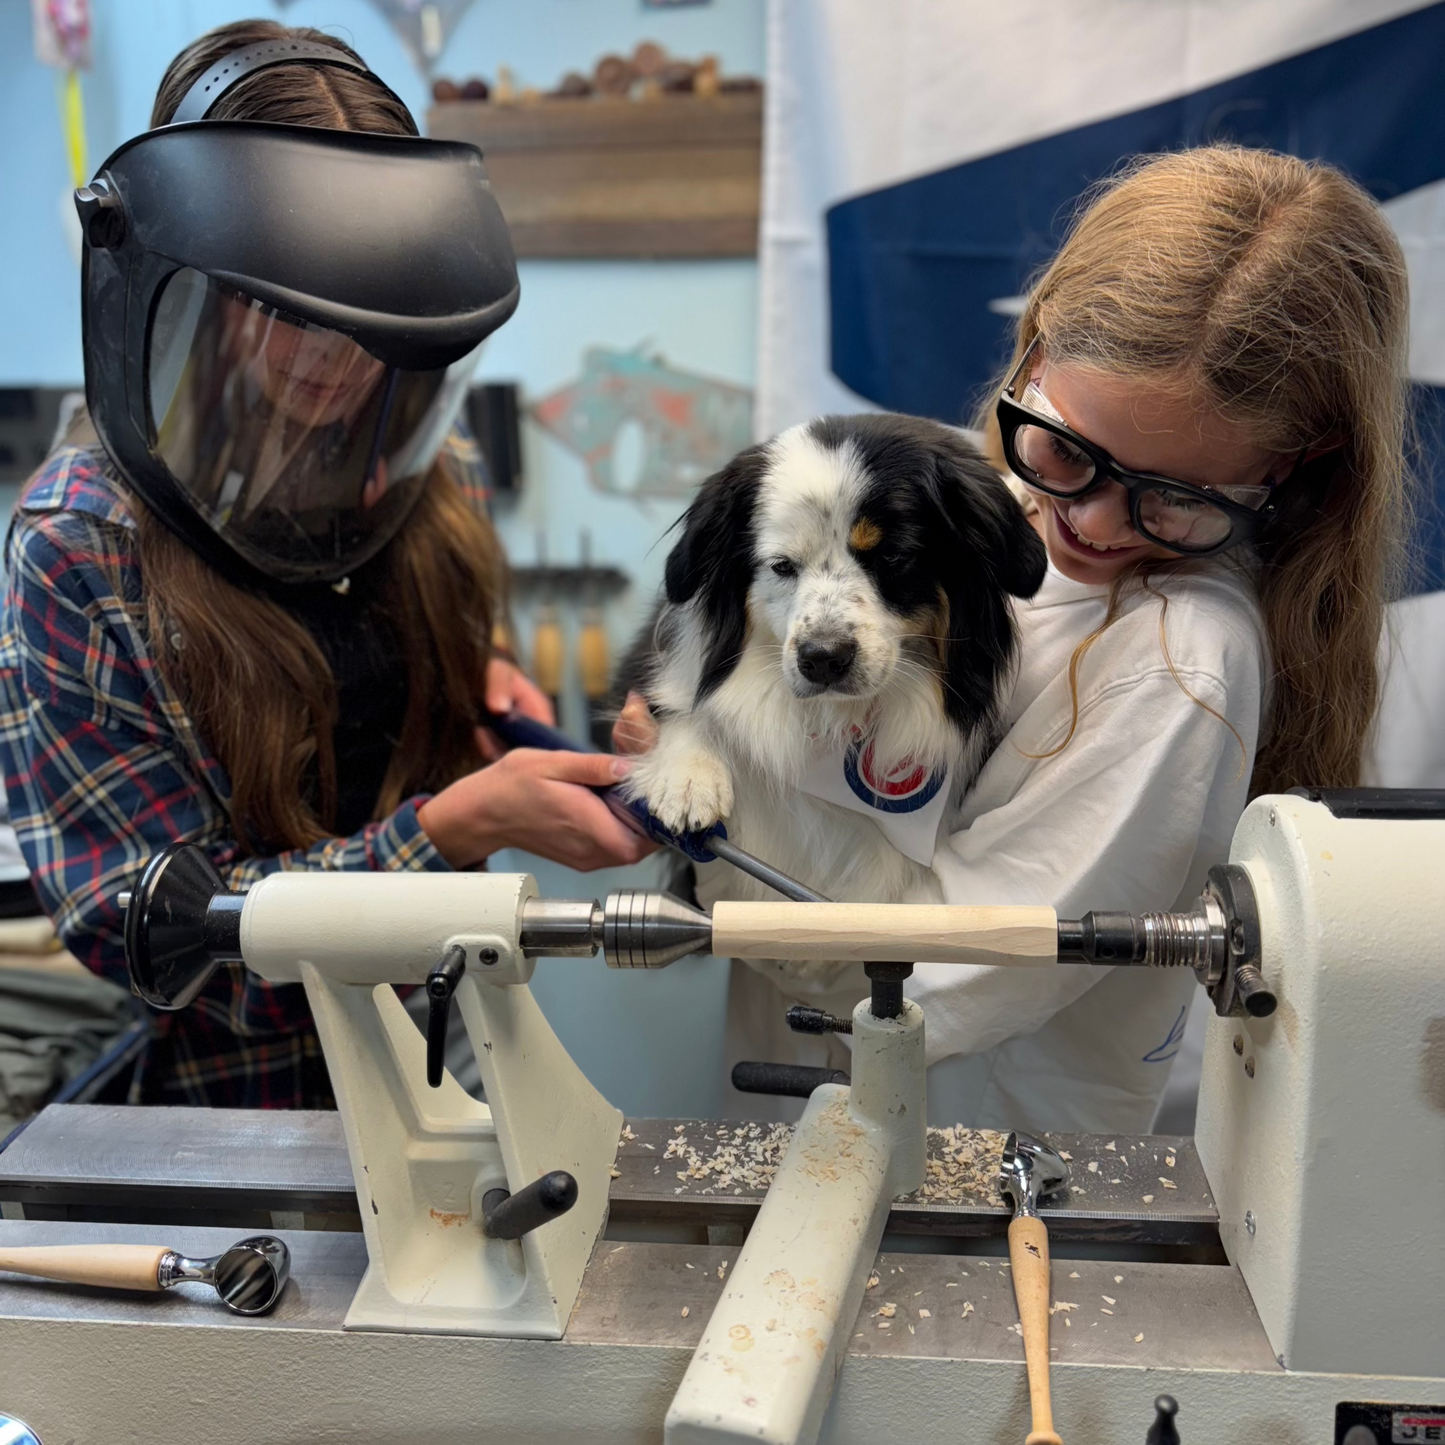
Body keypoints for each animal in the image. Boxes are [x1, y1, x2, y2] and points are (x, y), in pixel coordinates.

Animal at [627, 413, 1046, 919]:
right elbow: (681, 705)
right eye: (782, 566)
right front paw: (687, 777)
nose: (822, 659)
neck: (834, 720)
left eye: (891, 556)